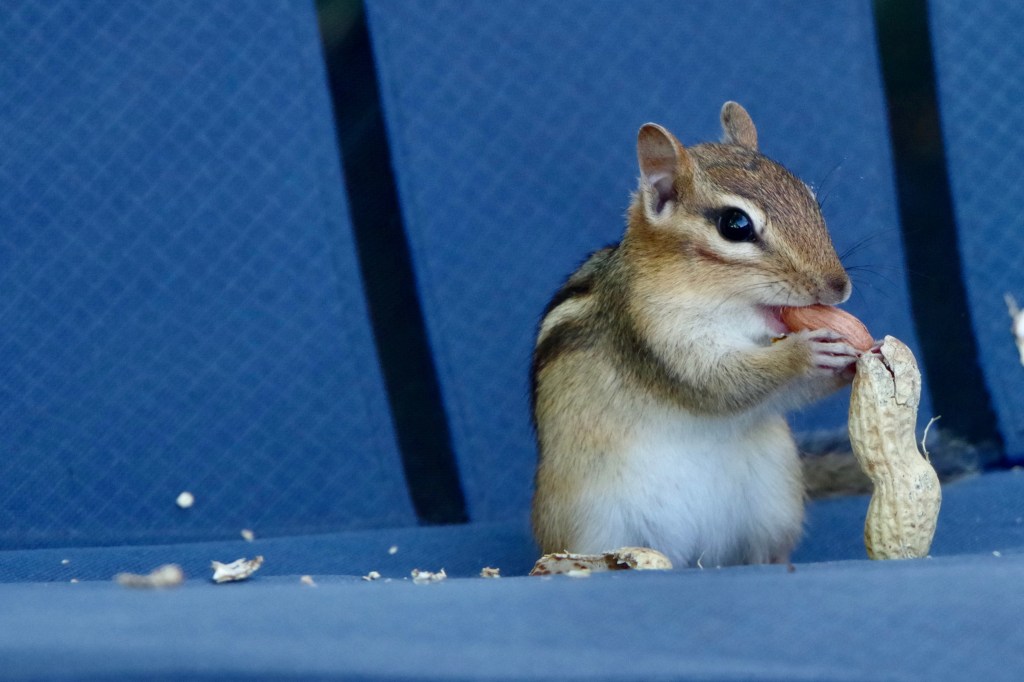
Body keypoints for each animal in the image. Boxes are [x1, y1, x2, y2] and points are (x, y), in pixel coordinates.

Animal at [530, 102, 862, 568]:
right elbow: (715, 382)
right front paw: (804, 353)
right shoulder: (652, 334)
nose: (839, 288)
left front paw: (859, 356)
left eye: (811, 200)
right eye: (735, 225)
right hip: (588, 522)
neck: (721, 307)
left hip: (775, 501)